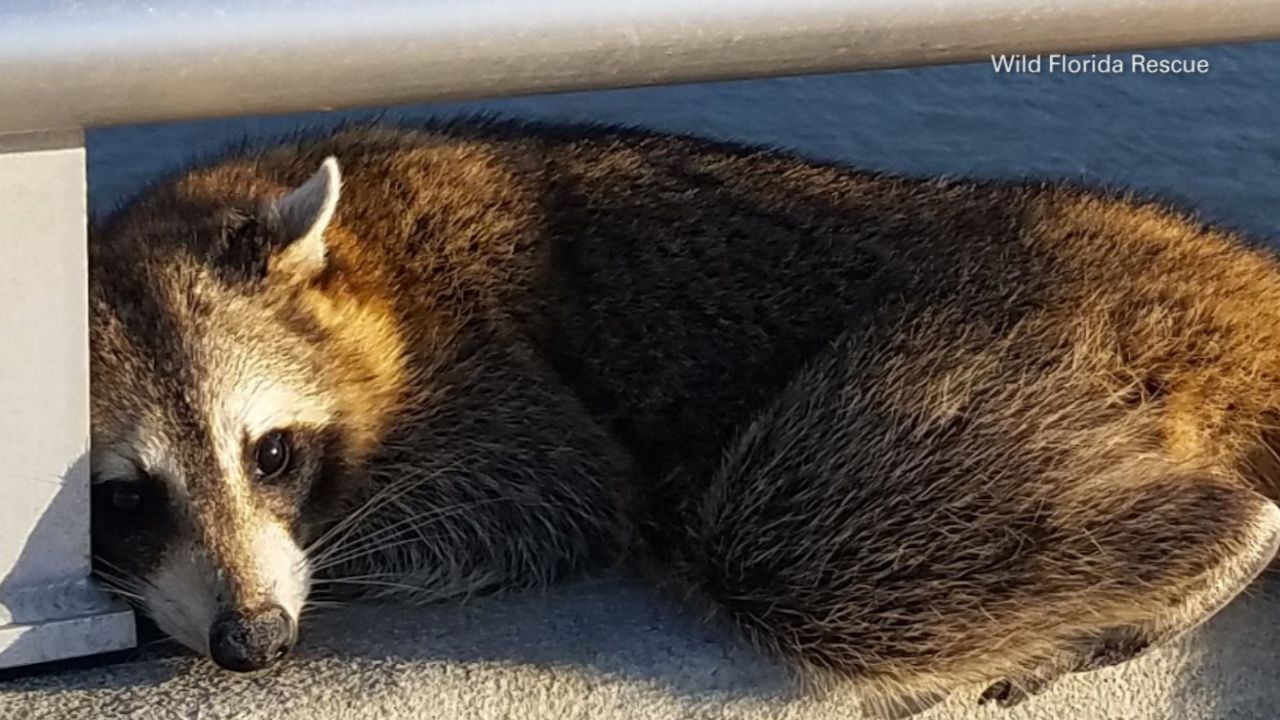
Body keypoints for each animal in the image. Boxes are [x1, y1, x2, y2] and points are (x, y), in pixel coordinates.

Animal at [90, 120, 1280, 707]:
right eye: (125, 499)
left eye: (271, 454)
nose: (253, 641)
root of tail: (1229, 285)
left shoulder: (488, 379)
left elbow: (545, 503)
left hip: (1013, 341)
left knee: (792, 535)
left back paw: (1226, 536)